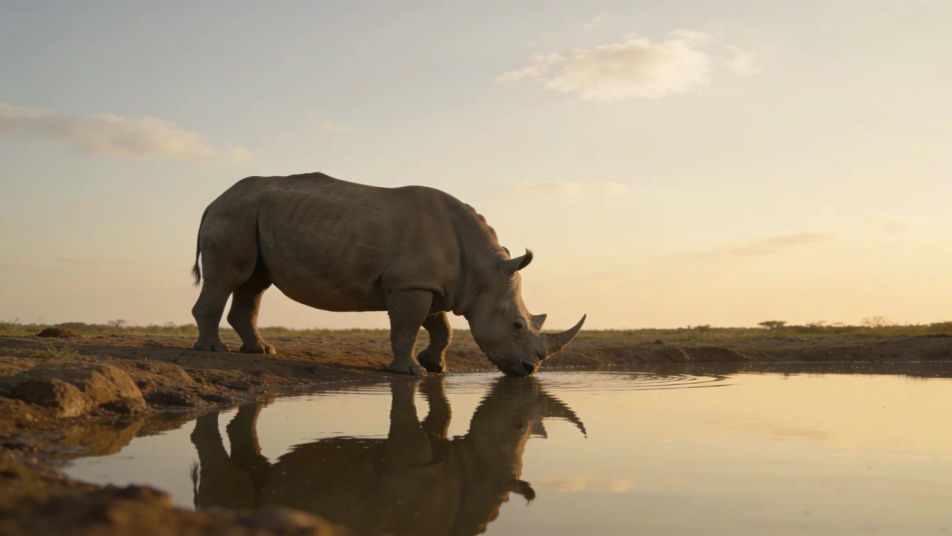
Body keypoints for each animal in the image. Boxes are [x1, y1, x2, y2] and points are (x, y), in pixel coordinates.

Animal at [191, 172, 585, 376]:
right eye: (517, 326)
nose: (530, 369)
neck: (481, 271)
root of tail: (214, 200)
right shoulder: (411, 284)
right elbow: (408, 328)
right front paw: (410, 372)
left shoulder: (433, 284)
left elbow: (441, 328)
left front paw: (435, 366)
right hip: (235, 214)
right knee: (228, 279)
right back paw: (212, 350)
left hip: (251, 216)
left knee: (254, 284)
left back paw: (260, 351)